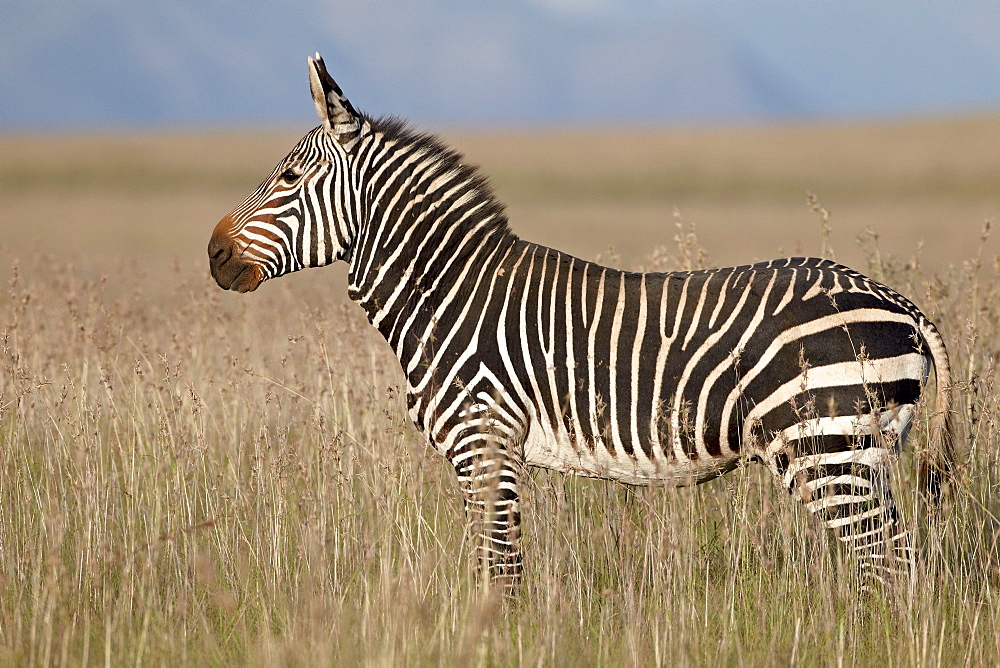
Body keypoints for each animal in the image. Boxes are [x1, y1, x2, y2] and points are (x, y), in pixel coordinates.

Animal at [209, 54, 952, 592]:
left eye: (288, 179)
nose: (214, 255)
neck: (445, 295)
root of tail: (902, 303)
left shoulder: (485, 441)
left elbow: (500, 571)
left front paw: (495, 641)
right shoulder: (490, 452)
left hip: (829, 445)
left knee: (894, 566)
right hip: (861, 451)